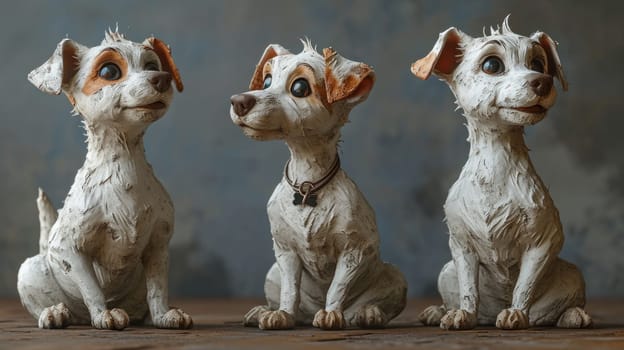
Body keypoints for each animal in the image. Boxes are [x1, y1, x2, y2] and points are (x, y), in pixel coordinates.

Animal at [18, 28, 191, 330]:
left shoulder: (158, 245)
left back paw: (145, 316)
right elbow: (91, 288)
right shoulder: (69, 249)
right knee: (51, 303)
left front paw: (163, 316)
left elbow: (158, 288)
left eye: (152, 66)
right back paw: (55, 313)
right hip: (30, 270)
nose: (162, 78)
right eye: (109, 71)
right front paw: (104, 315)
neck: (124, 165)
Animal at [232, 39, 408, 330]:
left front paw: (331, 314)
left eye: (300, 88)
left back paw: (367, 314)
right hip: (272, 274)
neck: (308, 183)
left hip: (395, 276)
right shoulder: (285, 251)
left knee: (367, 305)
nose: (239, 101)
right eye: (266, 81)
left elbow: (337, 287)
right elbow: (290, 289)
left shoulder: (354, 251)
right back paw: (267, 311)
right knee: (292, 302)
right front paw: (282, 315)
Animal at [412, 17, 592, 330]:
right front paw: (462, 314)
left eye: (538, 63)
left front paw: (516, 313)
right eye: (492, 65)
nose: (543, 81)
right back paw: (439, 311)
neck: (495, 167)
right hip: (446, 272)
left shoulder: (543, 243)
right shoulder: (461, 246)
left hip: (572, 275)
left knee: (560, 306)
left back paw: (571, 315)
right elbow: (468, 288)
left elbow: (524, 285)